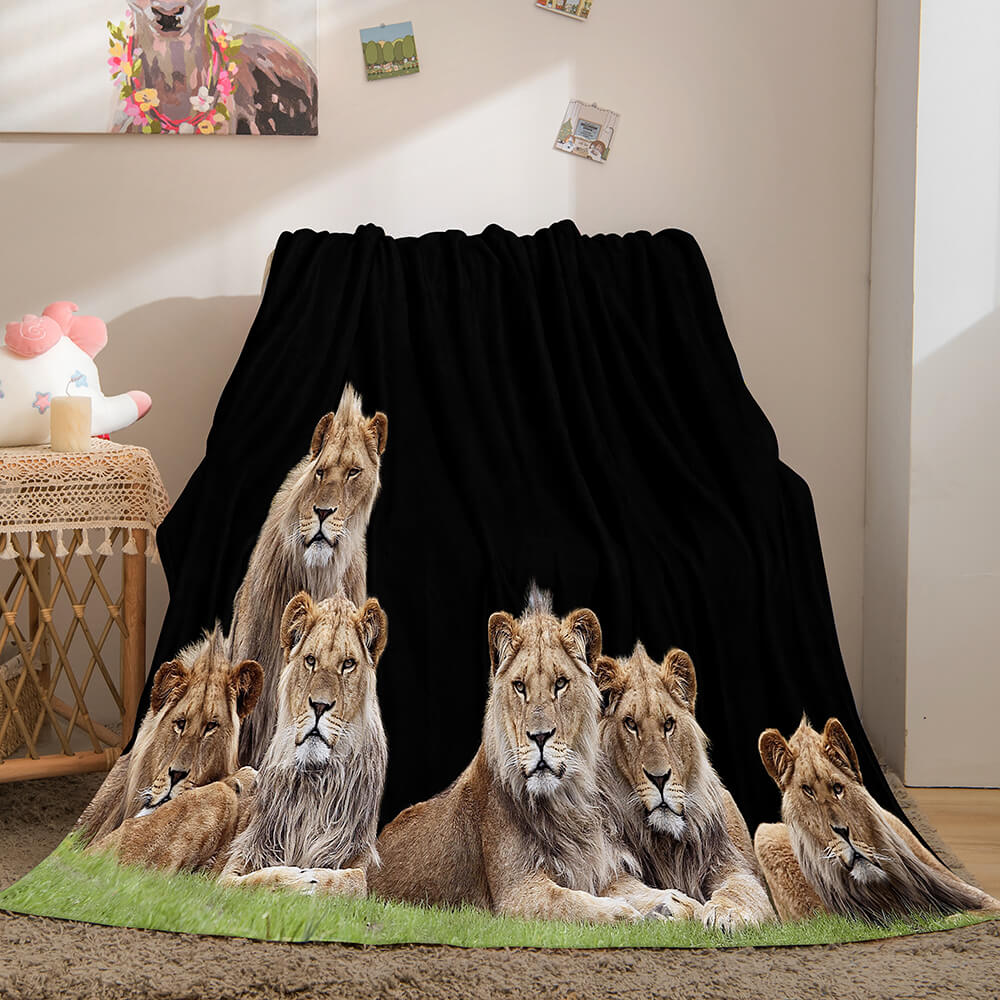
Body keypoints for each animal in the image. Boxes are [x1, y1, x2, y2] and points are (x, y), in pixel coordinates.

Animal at [369, 586, 703, 924]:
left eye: (560, 684)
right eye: (519, 686)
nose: (540, 736)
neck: (564, 802)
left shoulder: (597, 868)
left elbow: (642, 890)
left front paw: (680, 904)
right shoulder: (517, 892)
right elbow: (573, 903)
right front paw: (629, 914)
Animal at [595, 644, 775, 932]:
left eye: (669, 724)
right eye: (630, 724)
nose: (659, 779)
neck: (667, 842)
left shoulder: (734, 865)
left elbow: (742, 889)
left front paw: (728, 913)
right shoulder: (608, 870)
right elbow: (627, 890)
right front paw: (673, 906)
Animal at [755, 718, 1000, 923]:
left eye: (838, 789)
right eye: (807, 791)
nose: (843, 832)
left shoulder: (982, 899)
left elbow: (971, 912)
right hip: (763, 834)